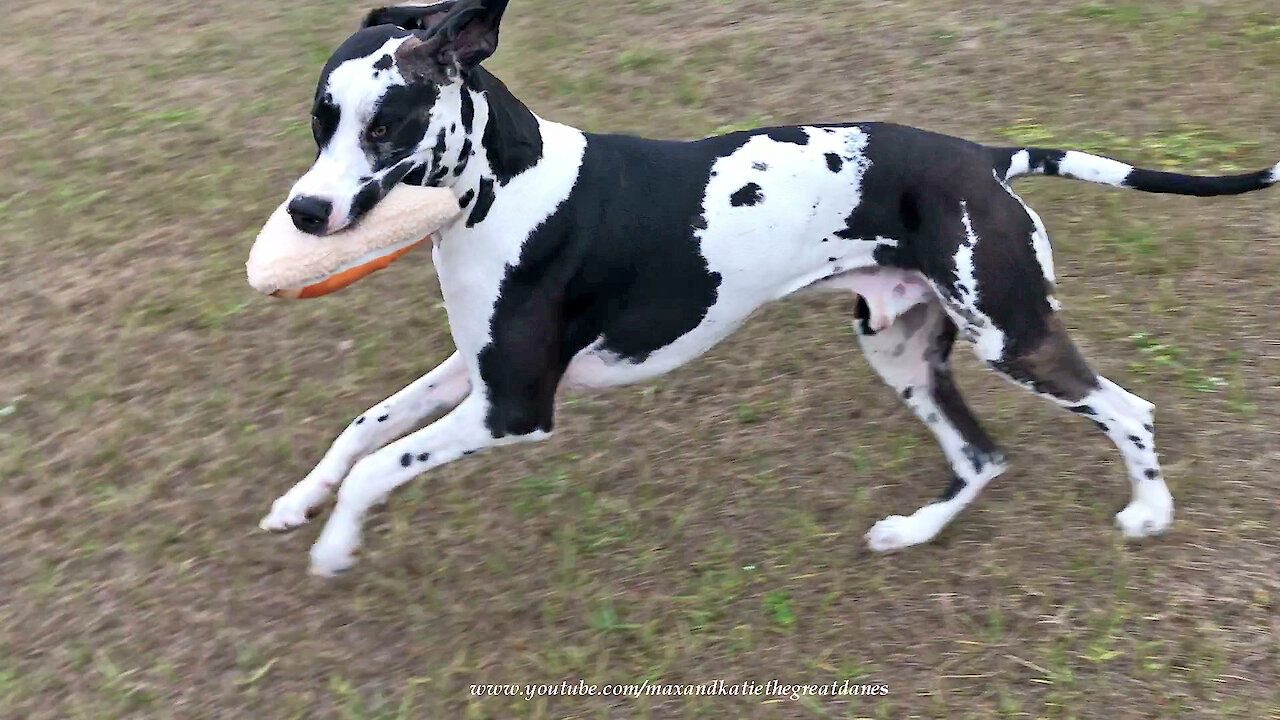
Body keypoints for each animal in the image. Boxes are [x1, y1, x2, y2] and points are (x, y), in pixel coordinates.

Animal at [259, 0, 1280, 571]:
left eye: (386, 126)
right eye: (319, 121)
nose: (305, 213)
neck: (506, 184)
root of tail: (985, 159)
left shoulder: (511, 406)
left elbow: (383, 464)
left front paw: (336, 545)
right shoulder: (471, 374)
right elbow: (363, 429)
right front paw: (297, 503)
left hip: (1010, 337)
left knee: (1127, 409)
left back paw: (1151, 510)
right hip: (900, 349)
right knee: (983, 456)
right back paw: (911, 534)